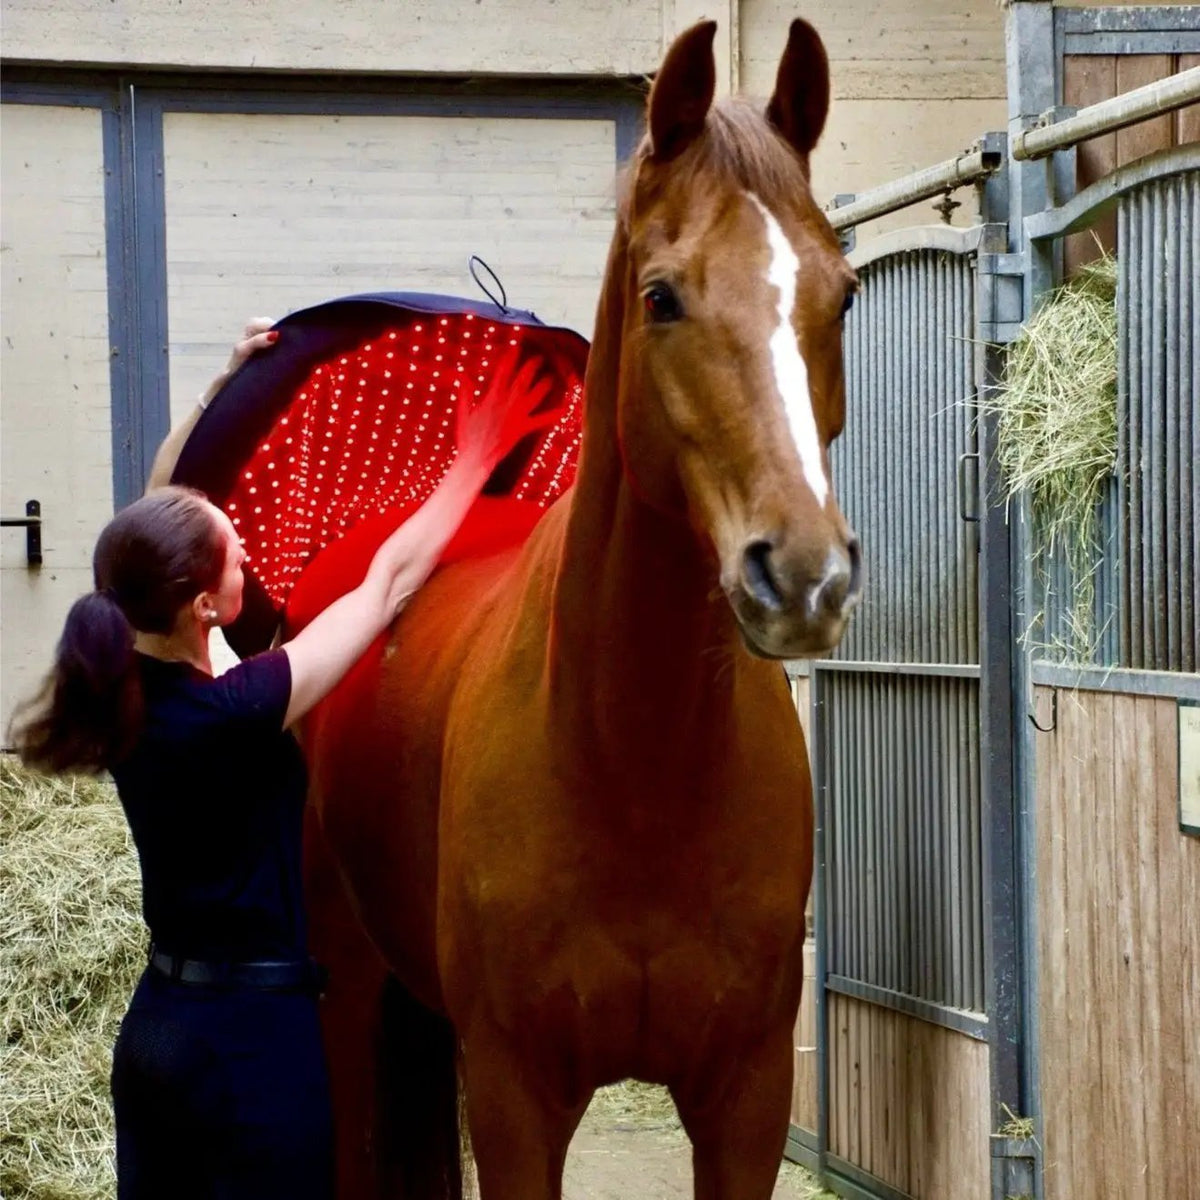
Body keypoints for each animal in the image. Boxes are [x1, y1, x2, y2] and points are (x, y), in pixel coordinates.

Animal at [290, 18, 860, 1199]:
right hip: (349, 989)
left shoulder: (745, 1101)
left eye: (842, 294)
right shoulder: (517, 1096)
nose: (804, 579)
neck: (634, 767)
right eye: (663, 297)